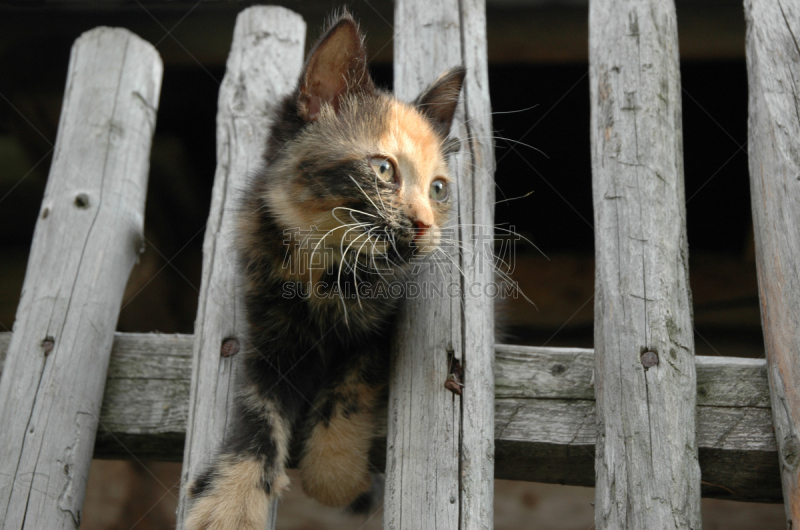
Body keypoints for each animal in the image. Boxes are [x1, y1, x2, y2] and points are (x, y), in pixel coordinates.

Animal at [184, 12, 466, 528]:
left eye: (438, 189)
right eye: (383, 169)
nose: (424, 224)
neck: (327, 269)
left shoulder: (382, 326)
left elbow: (349, 387)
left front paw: (335, 473)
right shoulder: (269, 332)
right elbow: (257, 413)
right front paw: (229, 504)